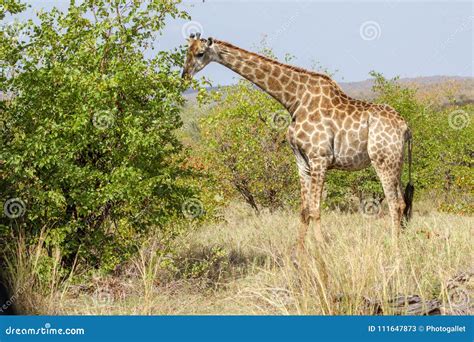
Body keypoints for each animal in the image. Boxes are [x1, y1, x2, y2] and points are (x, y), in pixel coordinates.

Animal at [183, 33, 412, 250]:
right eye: (186, 51)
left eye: (200, 53)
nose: (184, 76)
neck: (294, 101)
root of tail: (405, 127)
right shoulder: (302, 162)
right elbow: (304, 210)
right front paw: (300, 254)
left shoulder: (319, 158)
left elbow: (316, 210)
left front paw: (322, 252)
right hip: (396, 162)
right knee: (403, 203)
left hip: (382, 161)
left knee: (394, 204)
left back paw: (394, 249)